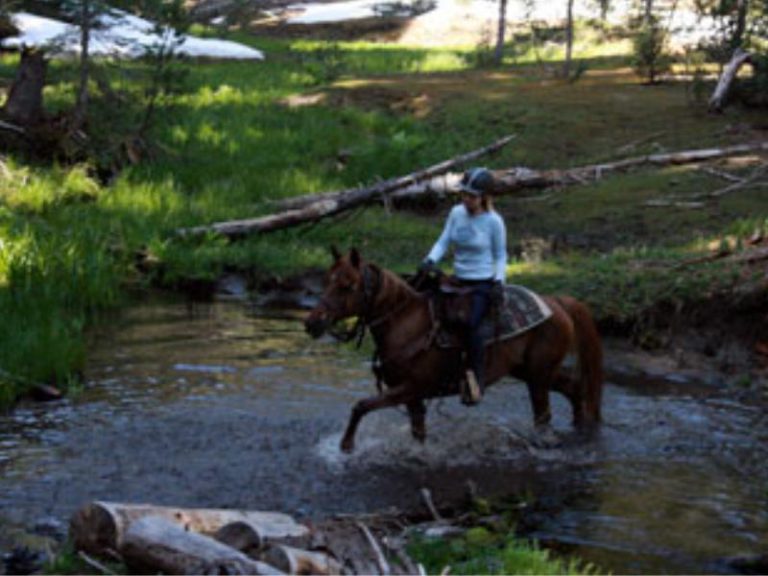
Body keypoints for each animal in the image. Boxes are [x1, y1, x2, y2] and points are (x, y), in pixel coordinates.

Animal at [304, 245, 604, 452]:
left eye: (347, 285)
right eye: (326, 282)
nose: (312, 322)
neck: (406, 323)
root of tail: (555, 302)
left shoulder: (410, 388)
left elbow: (361, 406)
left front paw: (346, 446)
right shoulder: (412, 397)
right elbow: (417, 432)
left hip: (538, 376)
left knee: (544, 415)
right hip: (530, 371)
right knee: (574, 389)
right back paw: (580, 430)